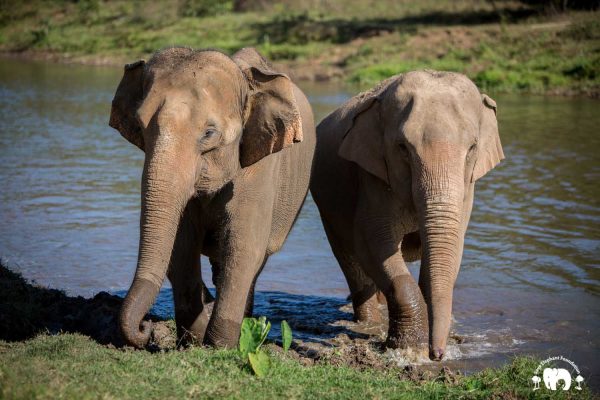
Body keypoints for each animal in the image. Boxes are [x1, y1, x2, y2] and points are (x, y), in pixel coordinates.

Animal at [108, 46, 316, 346]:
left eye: (209, 133)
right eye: (139, 126)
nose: (145, 328)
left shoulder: (261, 169)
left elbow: (243, 247)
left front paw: (218, 346)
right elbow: (181, 245)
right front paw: (194, 339)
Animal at [310, 69, 502, 360]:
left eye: (472, 148)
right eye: (402, 147)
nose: (438, 354)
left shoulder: (468, 189)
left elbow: (453, 247)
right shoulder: (372, 177)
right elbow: (373, 245)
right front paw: (409, 348)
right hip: (327, 207)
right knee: (351, 261)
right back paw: (369, 324)